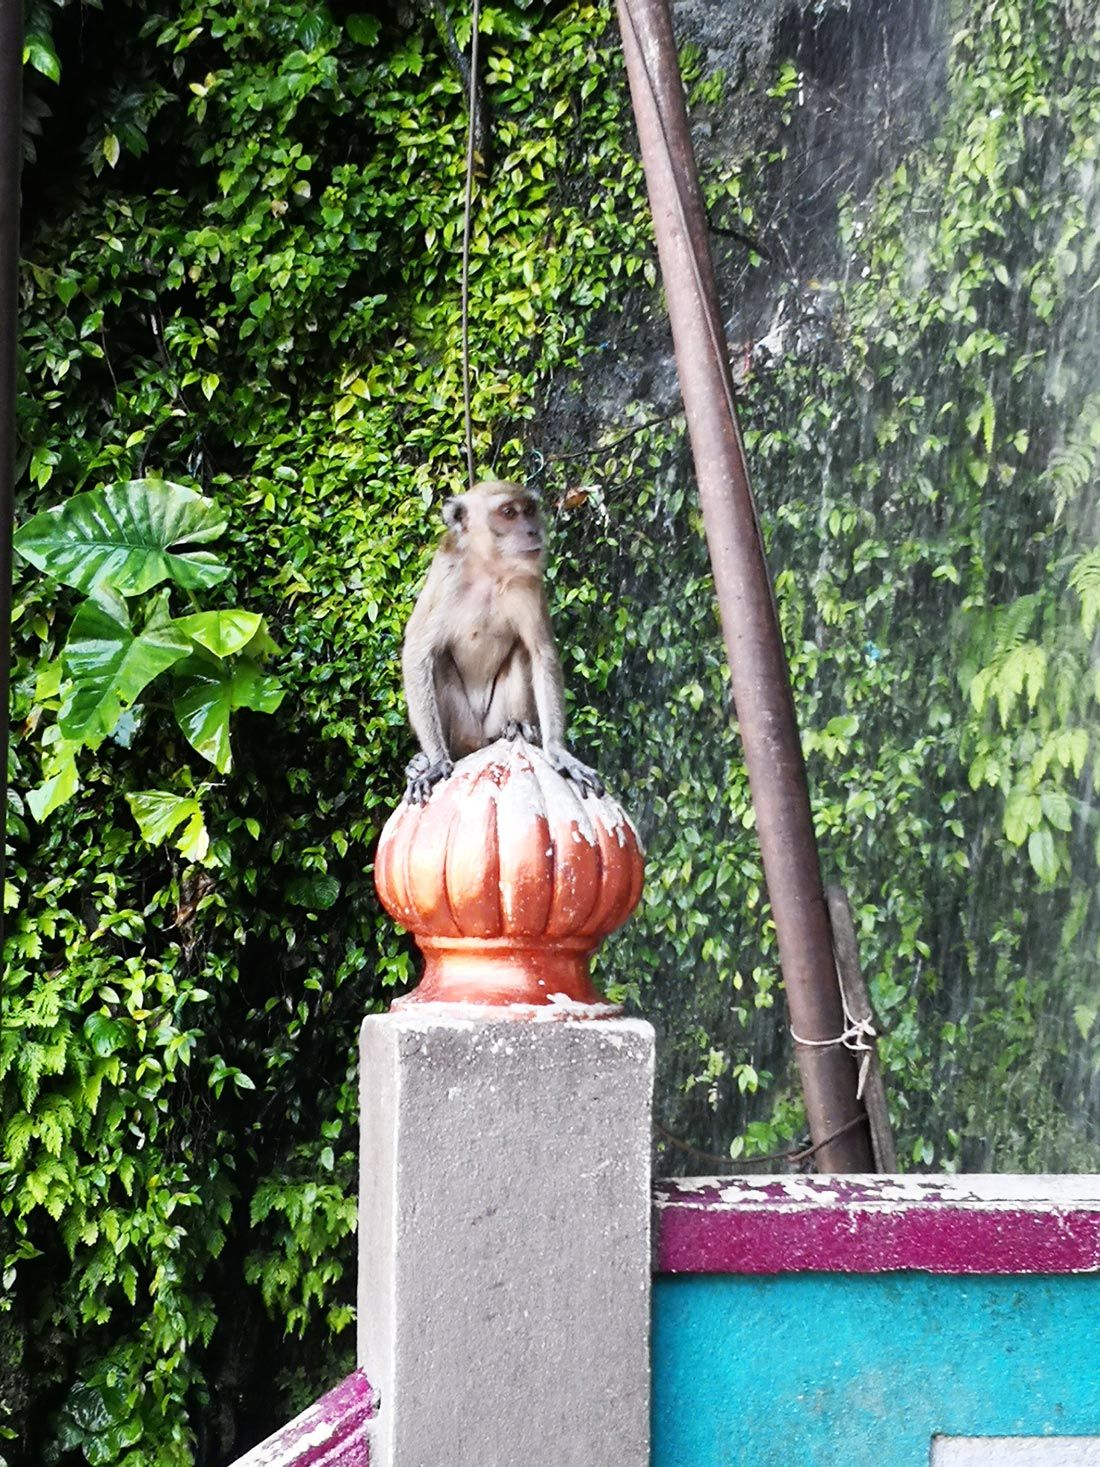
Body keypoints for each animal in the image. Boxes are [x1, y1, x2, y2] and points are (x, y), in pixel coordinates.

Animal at [401, 478, 604, 803]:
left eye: (530, 510)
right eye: (509, 512)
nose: (533, 530)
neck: (490, 569)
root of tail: (478, 742)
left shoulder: (529, 583)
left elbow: (541, 653)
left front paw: (558, 751)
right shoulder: (446, 577)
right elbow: (417, 654)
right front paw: (435, 762)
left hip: (491, 722)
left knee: (521, 651)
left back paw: (517, 726)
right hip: (463, 730)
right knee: (439, 661)